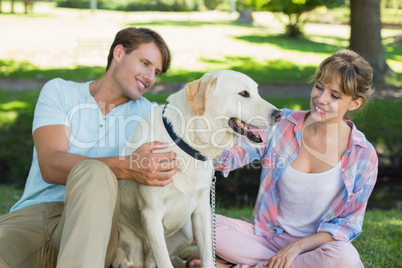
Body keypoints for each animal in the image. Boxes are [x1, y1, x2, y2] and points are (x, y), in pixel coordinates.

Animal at [113, 70, 282, 266]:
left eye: (257, 91)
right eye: (243, 94)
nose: (279, 114)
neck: (186, 142)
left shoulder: (202, 209)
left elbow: (207, 255)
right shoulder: (151, 213)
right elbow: (164, 261)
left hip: (187, 232)